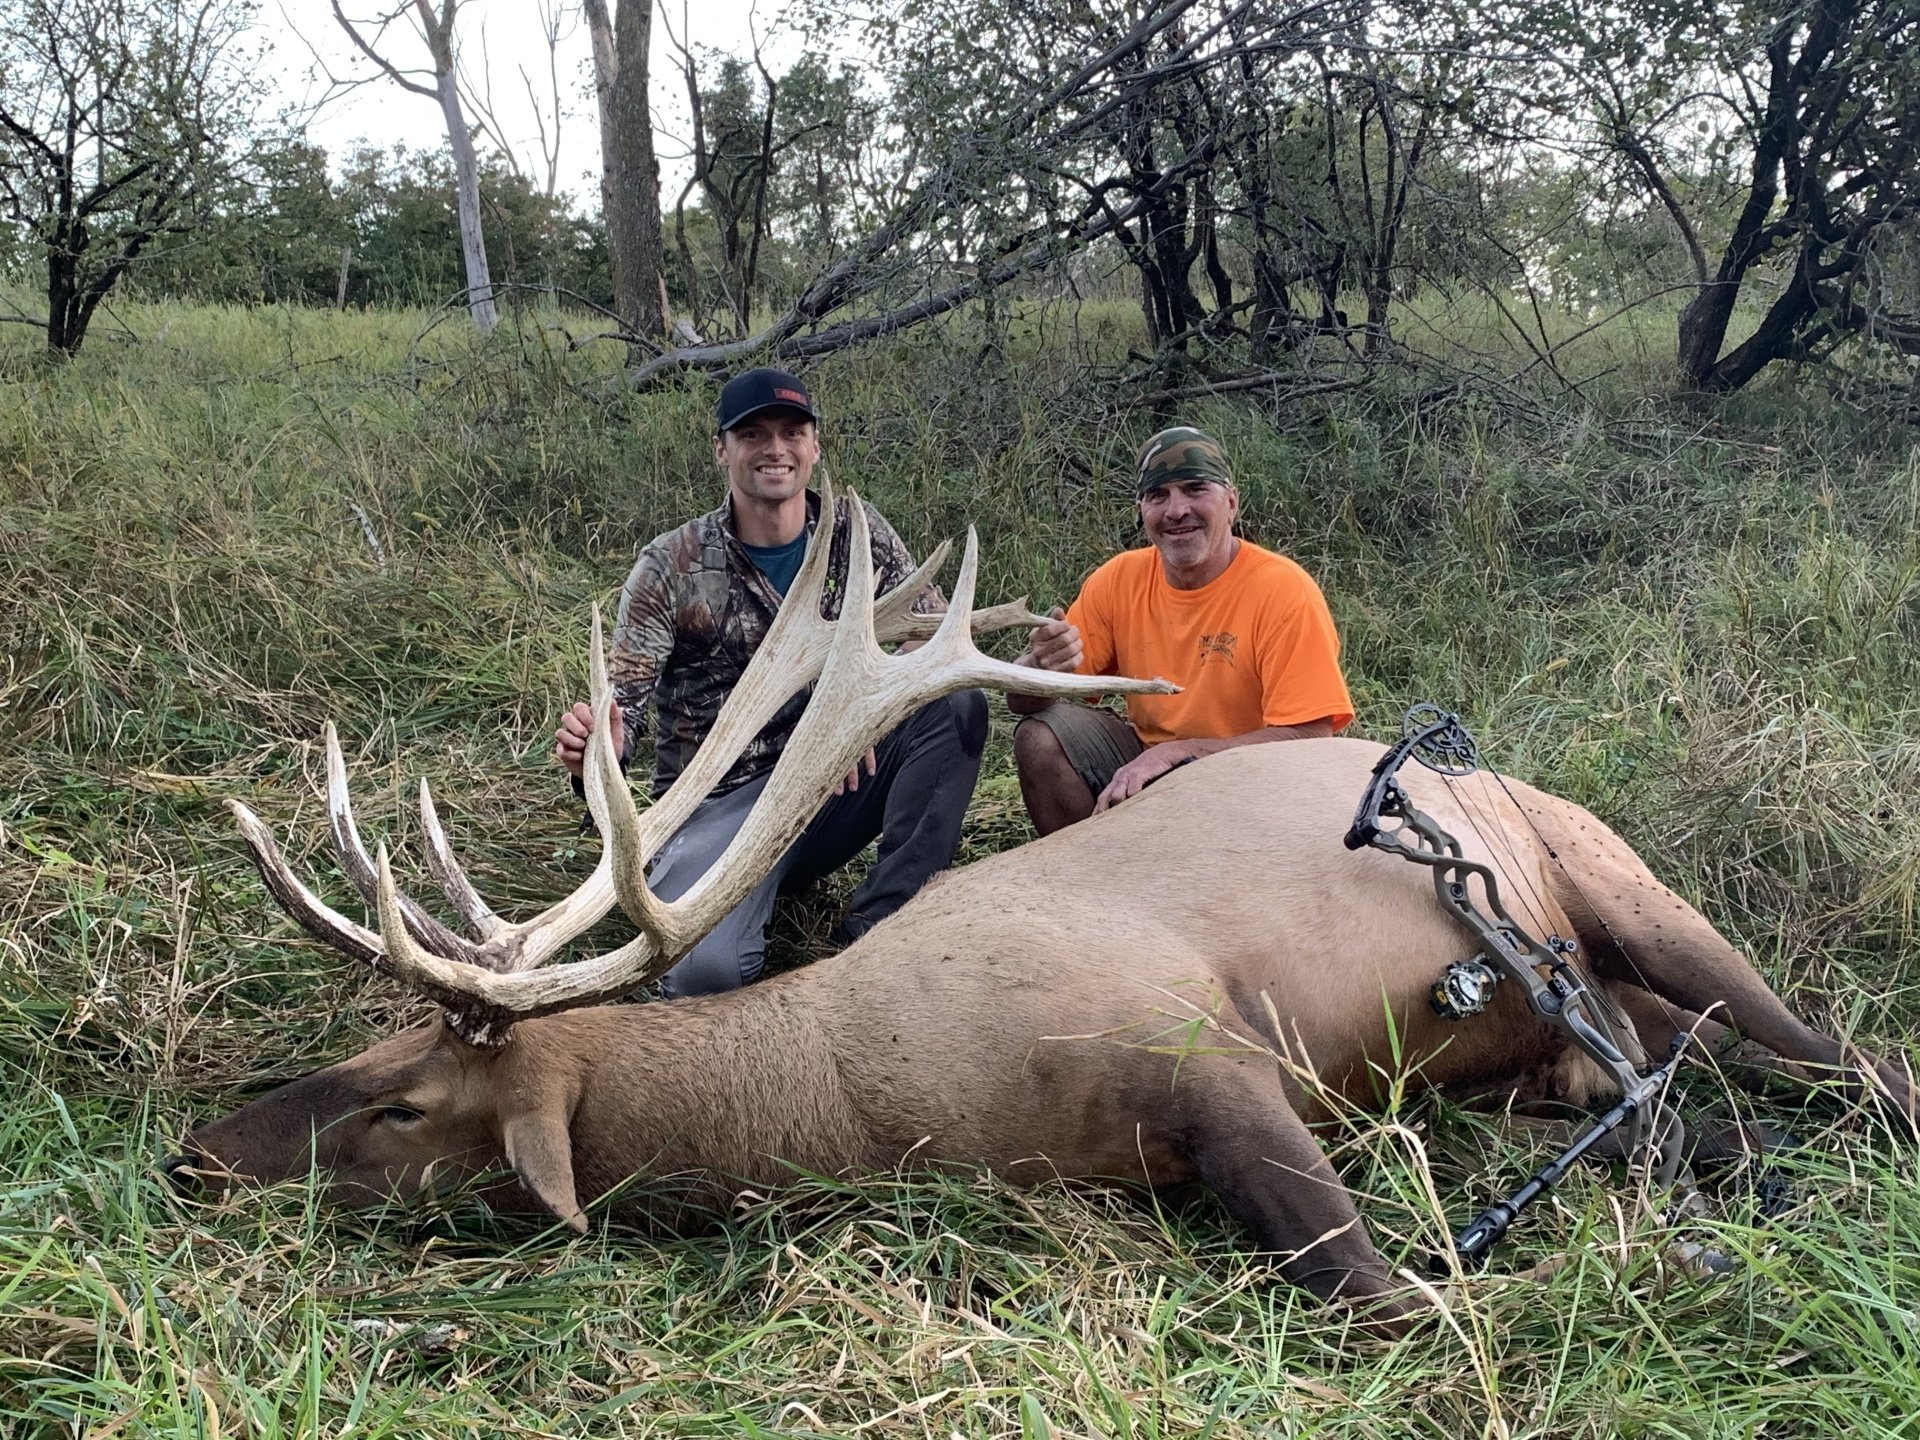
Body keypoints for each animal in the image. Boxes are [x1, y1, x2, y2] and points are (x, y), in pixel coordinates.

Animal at [169, 482, 1914, 1334]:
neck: (890, 1095)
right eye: (371, 1051)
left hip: (1625, 888)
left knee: (1834, 1052)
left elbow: (1379, 1291)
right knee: (1663, 1071)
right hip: (1575, 1028)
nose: (195, 1155)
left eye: (402, 1105)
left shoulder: (1211, 1053)